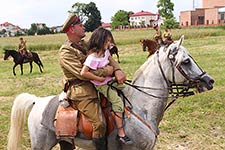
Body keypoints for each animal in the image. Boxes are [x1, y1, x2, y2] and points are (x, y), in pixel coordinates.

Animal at [7, 35, 214, 149]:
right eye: (186, 61)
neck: (141, 108)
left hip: (65, 142)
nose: (209, 81)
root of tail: (37, 101)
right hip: (41, 145)